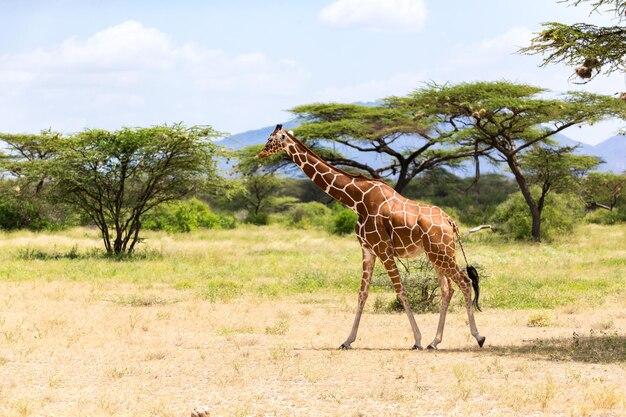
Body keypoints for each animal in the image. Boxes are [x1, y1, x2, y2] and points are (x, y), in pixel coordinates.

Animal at [256, 123, 486, 348]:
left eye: (270, 139)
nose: (260, 154)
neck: (356, 200)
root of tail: (450, 221)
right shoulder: (368, 250)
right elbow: (362, 293)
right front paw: (347, 340)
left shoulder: (383, 249)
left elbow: (400, 290)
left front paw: (417, 340)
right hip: (436, 254)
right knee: (448, 289)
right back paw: (435, 341)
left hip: (441, 253)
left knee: (465, 283)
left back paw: (477, 336)